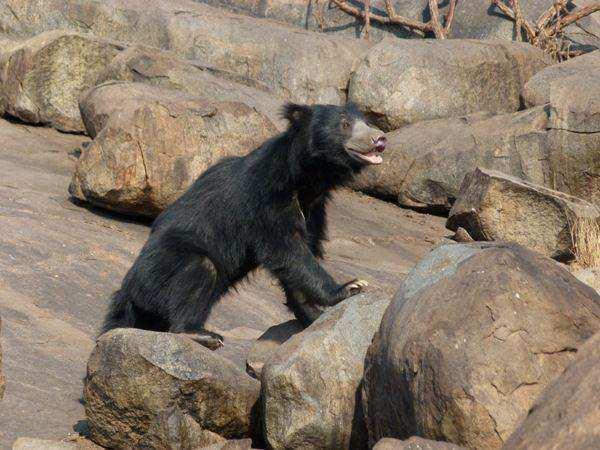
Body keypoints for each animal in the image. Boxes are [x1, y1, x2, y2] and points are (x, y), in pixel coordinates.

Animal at [101, 101, 386, 348]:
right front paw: (350, 287)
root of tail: (127, 293)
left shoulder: (315, 209)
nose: (380, 139)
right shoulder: (266, 200)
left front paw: (312, 314)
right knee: (199, 271)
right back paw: (199, 333)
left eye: (367, 122)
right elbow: (288, 250)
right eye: (345, 124)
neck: (306, 181)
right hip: (164, 268)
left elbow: (301, 254)